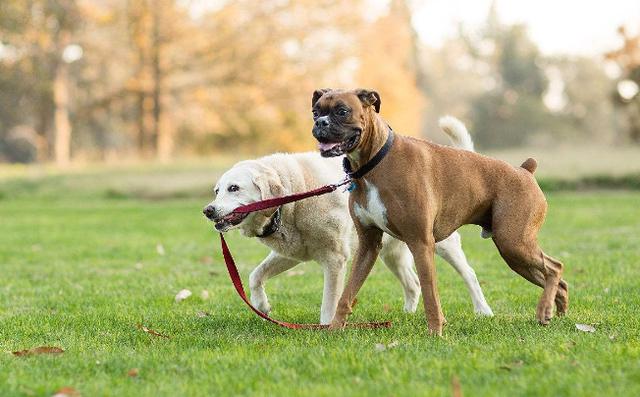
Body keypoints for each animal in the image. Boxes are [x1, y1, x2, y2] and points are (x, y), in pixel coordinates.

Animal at [202, 116, 492, 324]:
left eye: (234, 188)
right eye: (217, 190)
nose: (208, 210)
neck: (293, 196)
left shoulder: (334, 260)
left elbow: (329, 301)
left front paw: (325, 327)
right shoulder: (291, 255)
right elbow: (255, 276)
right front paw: (261, 306)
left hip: (440, 244)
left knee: (469, 275)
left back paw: (483, 310)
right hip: (391, 252)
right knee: (413, 283)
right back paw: (407, 313)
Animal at [312, 87, 568, 334]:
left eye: (342, 111)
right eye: (315, 112)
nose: (320, 123)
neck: (375, 162)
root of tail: (525, 170)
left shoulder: (421, 242)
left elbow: (430, 294)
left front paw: (435, 332)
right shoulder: (369, 245)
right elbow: (347, 293)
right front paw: (334, 329)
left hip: (514, 243)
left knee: (555, 268)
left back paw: (544, 310)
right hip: (516, 255)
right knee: (557, 280)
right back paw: (557, 313)